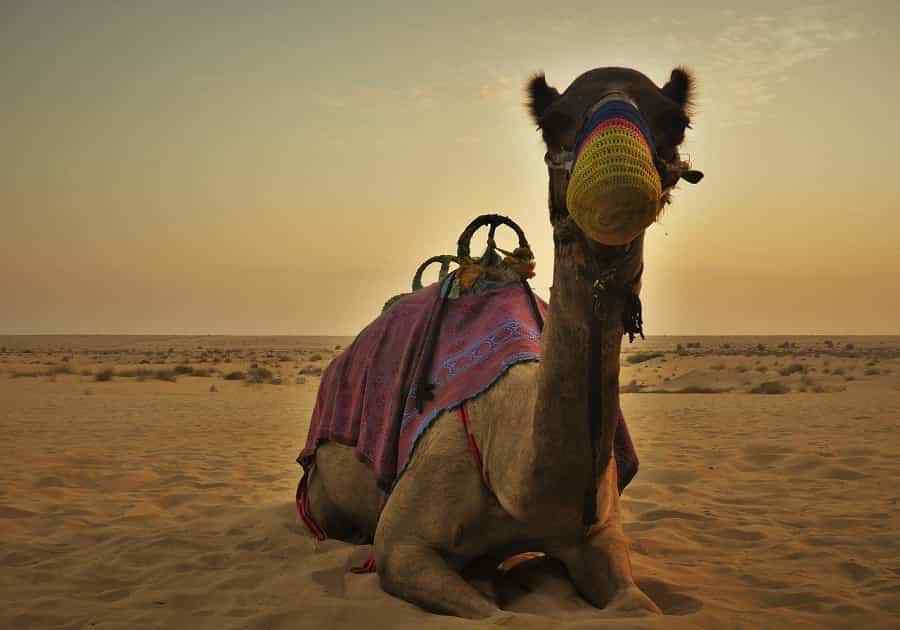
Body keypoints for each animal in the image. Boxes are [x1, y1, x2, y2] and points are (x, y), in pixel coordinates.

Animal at [302, 66, 701, 620]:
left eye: (675, 121)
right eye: (552, 122)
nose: (617, 184)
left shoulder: (599, 536)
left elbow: (638, 607)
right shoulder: (402, 547)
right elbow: (495, 614)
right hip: (319, 490)